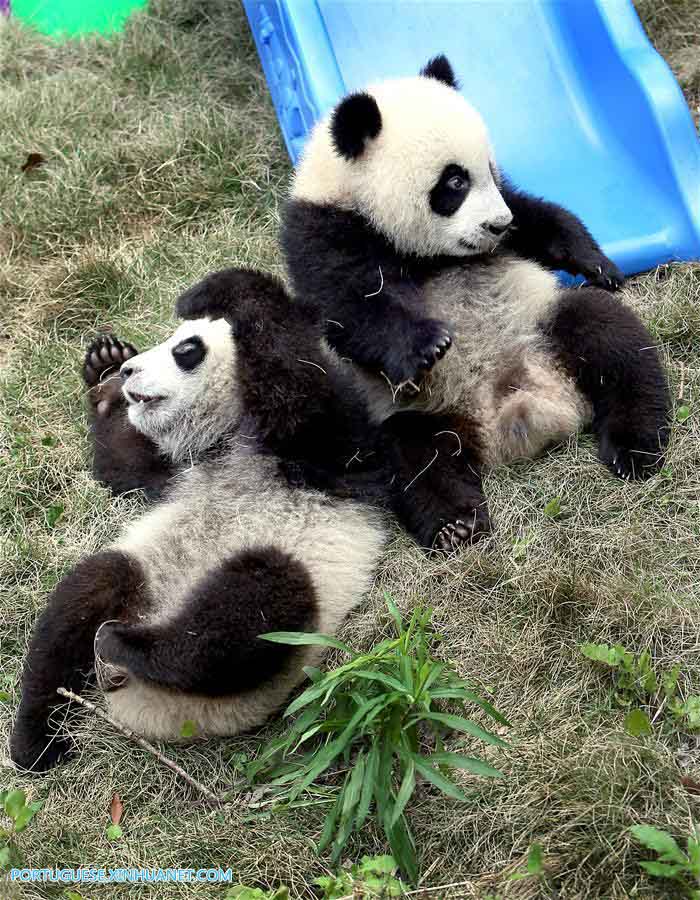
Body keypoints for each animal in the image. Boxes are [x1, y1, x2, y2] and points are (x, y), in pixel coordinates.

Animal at [10, 268, 388, 772]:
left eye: (185, 349)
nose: (131, 373)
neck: (230, 435)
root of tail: (138, 706)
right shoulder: (175, 469)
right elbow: (124, 468)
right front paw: (105, 368)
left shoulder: (325, 447)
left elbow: (299, 380)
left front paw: (212, 293)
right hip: (144, 573)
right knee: (82, 599)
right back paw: (36, 742)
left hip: (289, 608)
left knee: (247, 613)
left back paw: (129, 647)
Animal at [281, 55, 670, 552]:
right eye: (454, 181)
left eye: (488, 166)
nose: (497, 225)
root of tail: (517, 420)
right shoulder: (323, 233)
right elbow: (353, 309)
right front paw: (427, 345)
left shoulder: (510, 211)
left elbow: (538, 218)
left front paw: (595, 262)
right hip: (416, 408)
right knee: (412, 454)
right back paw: (455, 525)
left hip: (541, 324)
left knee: (606, 333)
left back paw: (635, 447)